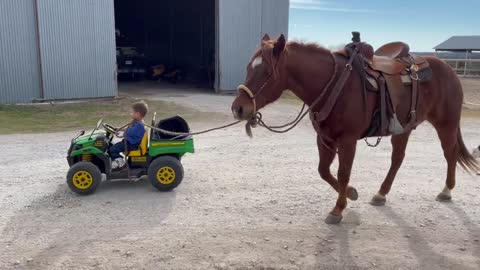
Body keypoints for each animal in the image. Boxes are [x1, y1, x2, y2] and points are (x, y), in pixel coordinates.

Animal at [231, 33, 478, 224]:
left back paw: (446, 190)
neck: (333, 84)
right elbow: (324, 171)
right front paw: (350, 193)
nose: (238, 109)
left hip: (446, 124)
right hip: (404, 128)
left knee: (450, 153)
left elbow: (343, 172)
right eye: (248, 67)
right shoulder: (325, 139)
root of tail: (448, 69)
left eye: (267, 72)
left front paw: (338, 209)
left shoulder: (347, 140)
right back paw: (381, 194)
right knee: (398, 159)